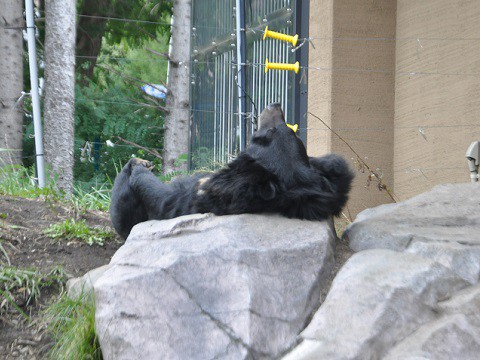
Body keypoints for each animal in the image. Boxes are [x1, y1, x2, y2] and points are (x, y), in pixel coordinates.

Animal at [110, 104, 354, 239]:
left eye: (262, 136)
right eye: (293, 133)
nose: (275, 104)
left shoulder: (191, 197)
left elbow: (164, 196)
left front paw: (140, 166)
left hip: (124, 211)